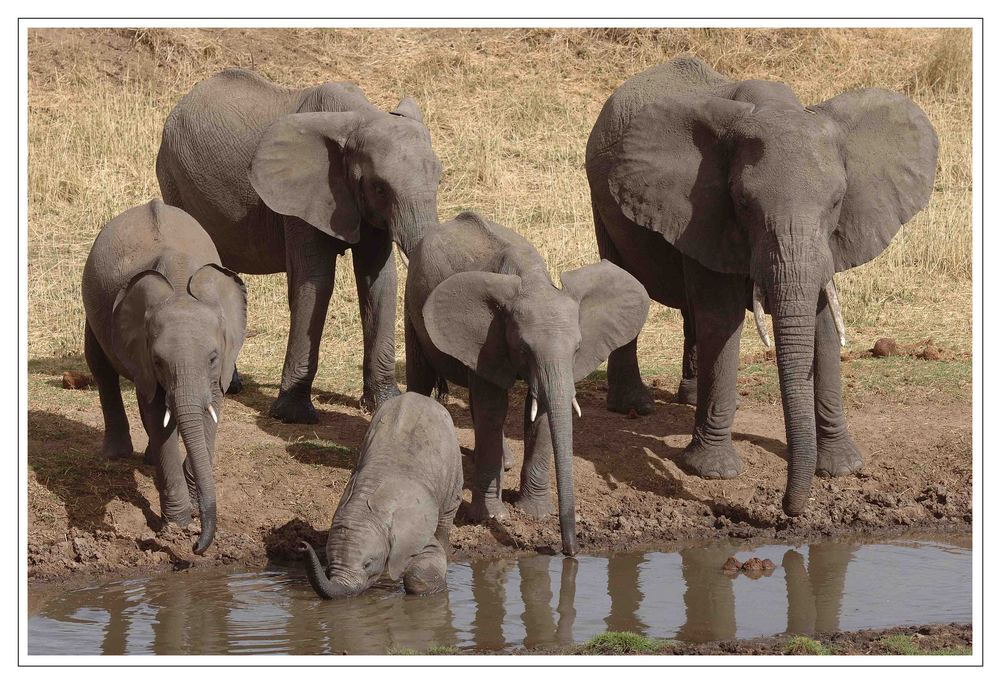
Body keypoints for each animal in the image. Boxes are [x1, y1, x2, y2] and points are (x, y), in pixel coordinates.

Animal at [80, 199, 248, 556]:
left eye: (213, 358)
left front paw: (192, 501)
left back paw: (147, 459)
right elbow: (157, 412)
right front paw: (177, 526)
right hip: (94, 311)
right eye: (158, 361)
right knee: (100, 366)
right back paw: (118, 454)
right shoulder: (141, 349)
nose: (198, 547)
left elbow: (211, 409)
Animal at [155, 68, 442, 422]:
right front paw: (294, 415)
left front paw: (385, 402)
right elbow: (316, 282)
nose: (438, 393)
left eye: (439, 180)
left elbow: (379, 282)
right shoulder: (298, 196)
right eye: (379, 188)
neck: (358, 118)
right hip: (173, 179)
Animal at [298, 392, 466, 600]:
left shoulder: (417, 524)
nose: (302, 545)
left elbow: (424, 561)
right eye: (329, 561)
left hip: (453, 466)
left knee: (445, 519)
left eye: (367, 564)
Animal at [404, 212, 648, 556]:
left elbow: (542, 412)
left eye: (577, 349)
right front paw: (492, 518)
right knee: (421, 375)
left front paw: (535, 513)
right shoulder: (487, 338)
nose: (570, 552)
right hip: (410, 301)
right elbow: (493, 408)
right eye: (523, 349)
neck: (532, 280)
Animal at [584, 58, 936, 516]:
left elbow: (822, 321)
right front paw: (713, 473)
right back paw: (635, 406)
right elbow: (723, 317)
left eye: (837, 202)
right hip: (599, 200)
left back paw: (693, 399)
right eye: (744, 204)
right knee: (627, 281)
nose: (788, 509)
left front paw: (842, 467)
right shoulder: (705, 211)